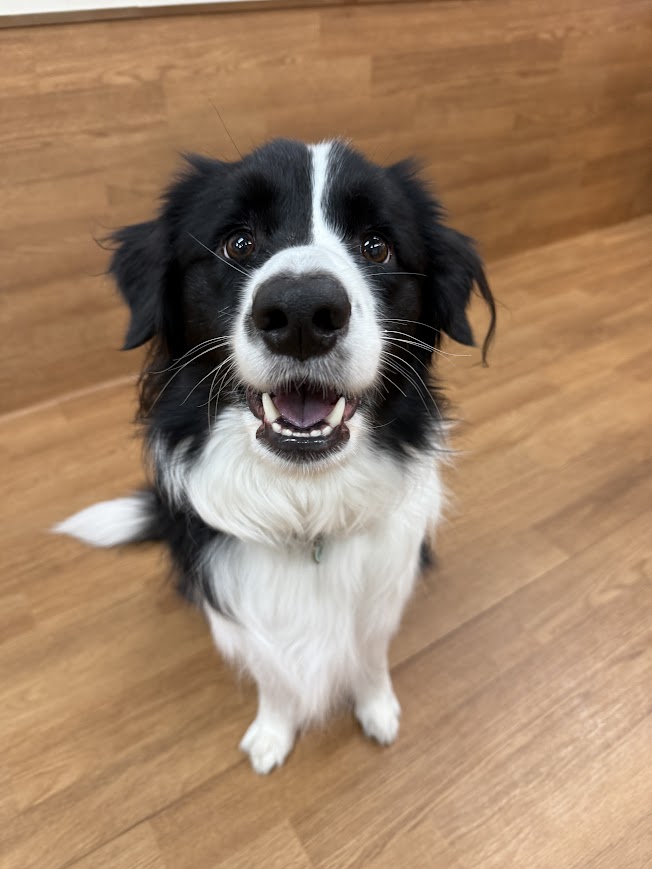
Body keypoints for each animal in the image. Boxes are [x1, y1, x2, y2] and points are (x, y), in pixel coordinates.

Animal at [55, 139, 495, 773]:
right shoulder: (244, 617)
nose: (303, 312)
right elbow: (274, 678)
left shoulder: (383, 594)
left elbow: (369, 656)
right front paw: (272, 733)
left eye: (376, 246)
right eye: (238, 242)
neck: (303, 506)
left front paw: (378, 708)